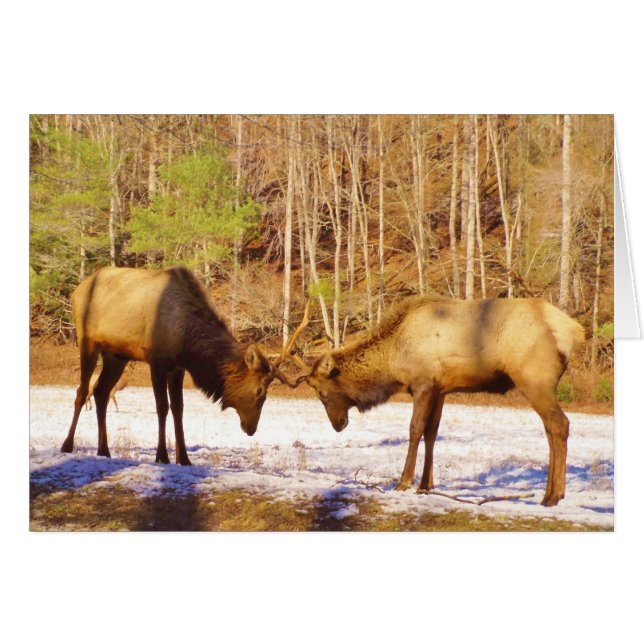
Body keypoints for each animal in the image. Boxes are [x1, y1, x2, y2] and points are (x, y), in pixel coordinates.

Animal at [62, 266, 308, 465]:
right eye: (259, 392)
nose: (251, 429)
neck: (187, 344)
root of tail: (77, 290)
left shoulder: (177, 367)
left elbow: (178, 409)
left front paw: (184, 458)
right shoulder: (157, 361)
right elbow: (162, 407)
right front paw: (162, 456)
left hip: (116, 355)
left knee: (101, 392)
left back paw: (104, 450)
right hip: (87, 341)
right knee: (82, 391)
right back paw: (67, 445)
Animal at [300, 295, 585, 507]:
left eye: (322, 393)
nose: (338, 424)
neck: (392, 360)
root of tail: (574, 330)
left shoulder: (424, 383)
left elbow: (415, 430)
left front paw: (404, 482)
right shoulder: (441, 390)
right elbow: (431, 434)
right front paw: (425, 485)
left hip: (534, 379)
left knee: (560, 424)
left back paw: (552, 496)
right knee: (551, 428)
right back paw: (552, 492)